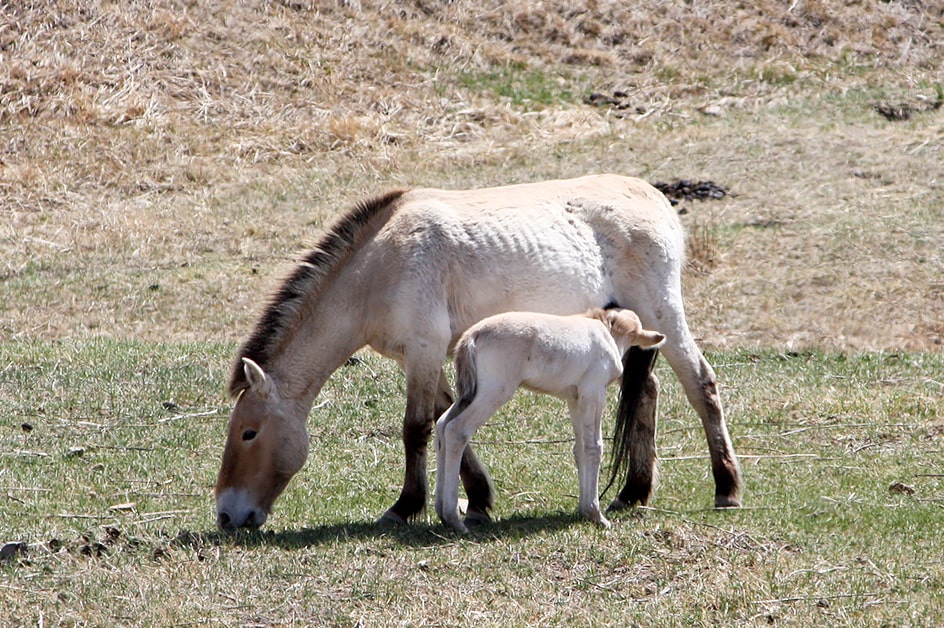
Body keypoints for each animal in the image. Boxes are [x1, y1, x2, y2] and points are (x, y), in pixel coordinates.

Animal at [436, 306, 664, 532]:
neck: (608, 331)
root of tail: (471, 337)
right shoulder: (594, 391)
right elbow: (594, 447)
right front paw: (595, 514)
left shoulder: (575, 398)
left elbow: (580, 449)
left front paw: (584, 510)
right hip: (495, 391)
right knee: (456, 430)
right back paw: (454, 519)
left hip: (470, 394)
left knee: (442, 424)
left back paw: (442, 512)